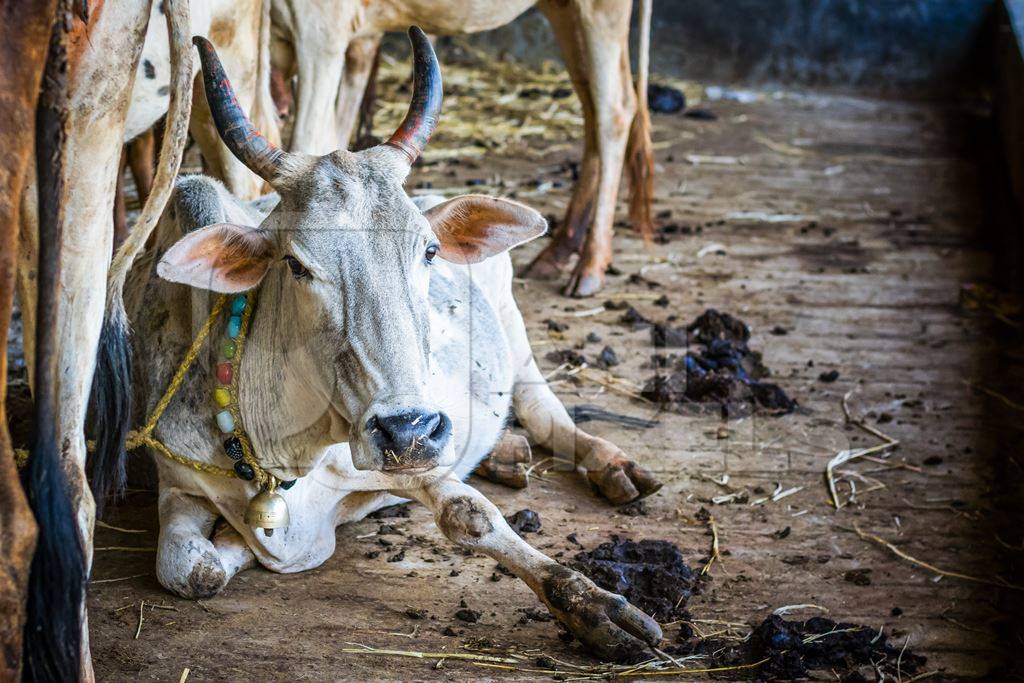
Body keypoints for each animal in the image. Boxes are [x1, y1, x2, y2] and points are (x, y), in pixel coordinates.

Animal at [105, 29, 663, 659]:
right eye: (296, 264)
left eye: (428, 250)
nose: (409, 430)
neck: (281, 447)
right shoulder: (179, 485)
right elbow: (197, 571)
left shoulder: (416, 463)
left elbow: (472, 516)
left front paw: (600, 609)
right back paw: (507, 453)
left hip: (513, 330)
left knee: (547, 412)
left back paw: (610, 464)